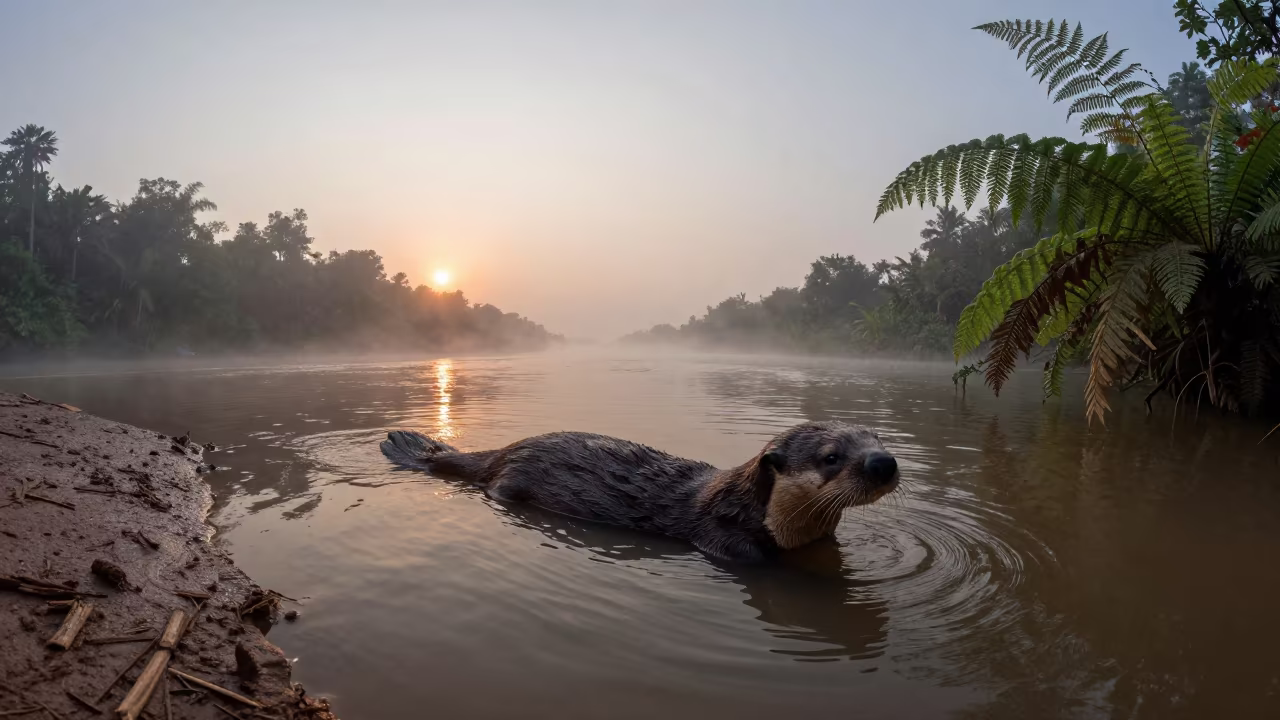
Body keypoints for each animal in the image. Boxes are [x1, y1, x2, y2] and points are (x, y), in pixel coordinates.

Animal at [380, 421, 899, 562]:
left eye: (878, 439)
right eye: (831, 456)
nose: (884, 463)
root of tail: (506, 450)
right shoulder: (726, 541)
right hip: (512, 481)